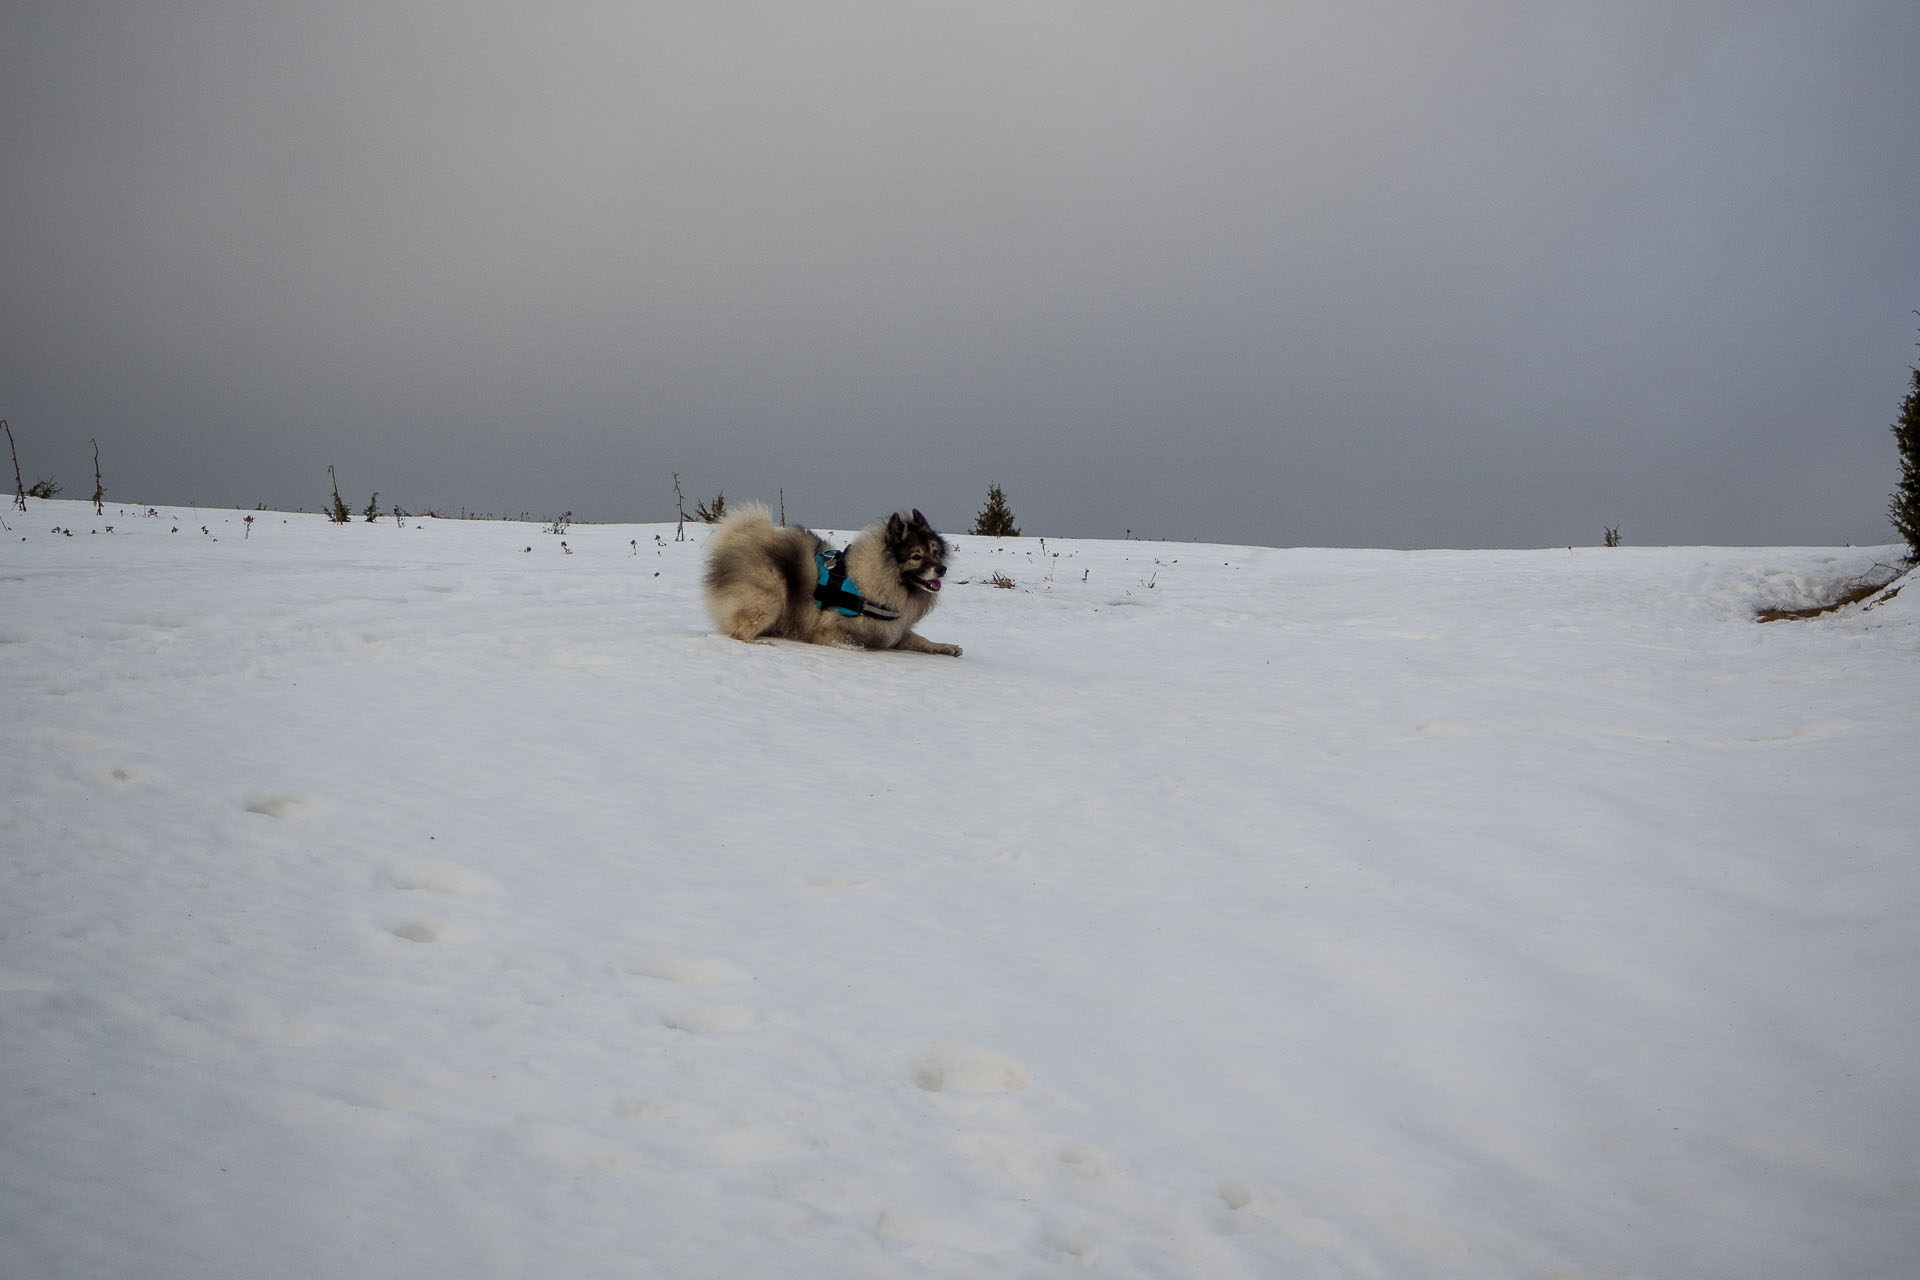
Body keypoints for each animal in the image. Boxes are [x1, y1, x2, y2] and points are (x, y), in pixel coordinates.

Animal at [702, 502, 960, 656]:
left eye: (936, 551)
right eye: (916, 556)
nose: (942, 569)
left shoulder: (891, 630)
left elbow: (919, 639)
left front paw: (946, 647)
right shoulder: (829, 631)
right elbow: (858, 644)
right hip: (770, 597)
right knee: (739, 633)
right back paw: (760, 643)